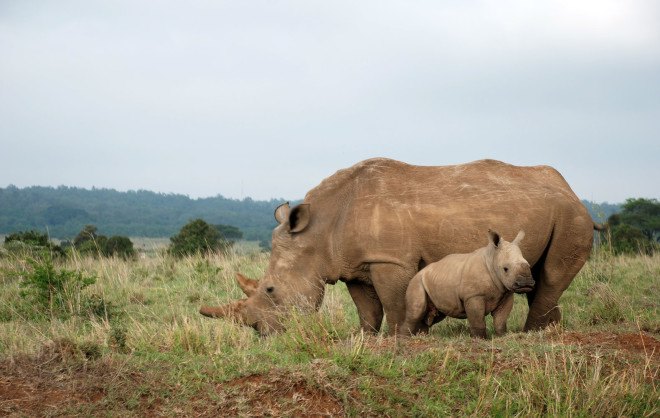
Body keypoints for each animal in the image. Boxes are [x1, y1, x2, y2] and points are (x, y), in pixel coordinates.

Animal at [401, 230, 533, 339]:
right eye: (505, 269)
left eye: (529, 265)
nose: (526, 283)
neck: (492, 260)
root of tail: (418, 273)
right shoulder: (473, 296)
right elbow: (477, 320)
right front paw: (479, 339)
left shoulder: (506, 293)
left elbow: (500, 320)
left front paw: (502, 336)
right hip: (416, 282)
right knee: (416, 311)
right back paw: (405, 339)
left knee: (433, 315)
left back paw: (422, 336)